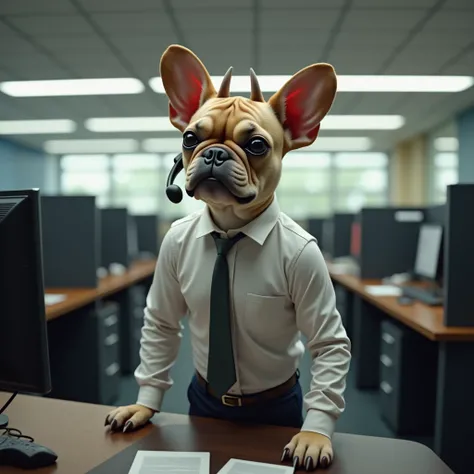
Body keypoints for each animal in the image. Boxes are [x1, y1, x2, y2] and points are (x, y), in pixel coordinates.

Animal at [107, 44, 352, 470]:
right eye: (190, 137)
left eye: (256, 145)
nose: (215, 154)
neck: (229, 228)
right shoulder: (166, 272)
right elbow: (160, 328)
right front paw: (142, 405)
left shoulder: (309, 264)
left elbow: (328, 342)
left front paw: (313, 435)